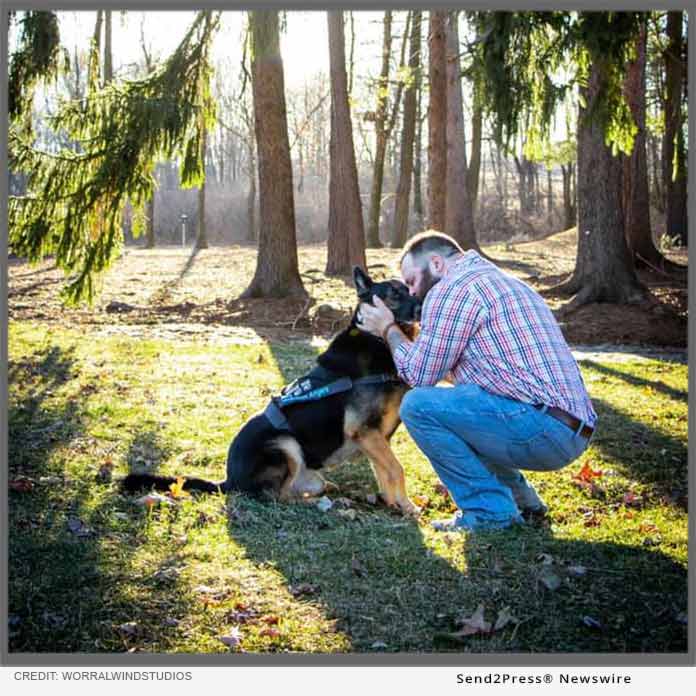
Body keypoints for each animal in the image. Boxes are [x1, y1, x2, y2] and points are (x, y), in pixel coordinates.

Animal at [122, 266, 422, 516]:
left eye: (408, 290)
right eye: (394, 294)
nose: (423, 304)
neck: (374, 338)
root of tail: (228, 481)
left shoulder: (375, 437)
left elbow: (385, 472)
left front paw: (392, 503)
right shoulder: (364, 430)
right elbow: (397, 469)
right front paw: (408, 507)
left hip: (309, 469)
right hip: (286, 445)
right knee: (279, 496)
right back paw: (321, 503)